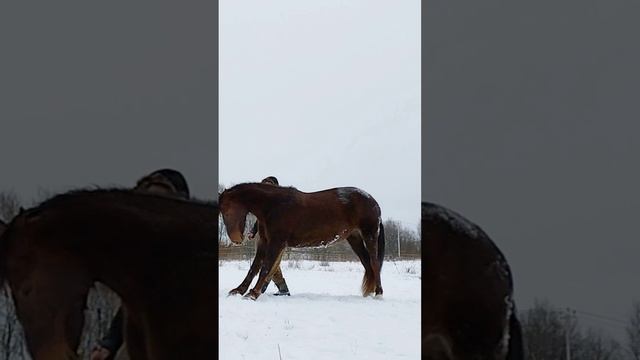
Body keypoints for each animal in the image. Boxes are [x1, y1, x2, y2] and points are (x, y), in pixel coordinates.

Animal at [220, 183, 384, 300]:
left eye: (227, 211)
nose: (236, 239)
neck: (274, 206)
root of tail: (373, 202)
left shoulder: (276, 242)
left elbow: (265, 268)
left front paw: (253, 294)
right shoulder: (264, 243)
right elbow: (254, 268)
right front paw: (238, 290)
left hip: (369, 235)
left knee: (374, 263)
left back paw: (378, 294)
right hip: (354, 238)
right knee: (367, 263)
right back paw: (369, 293)